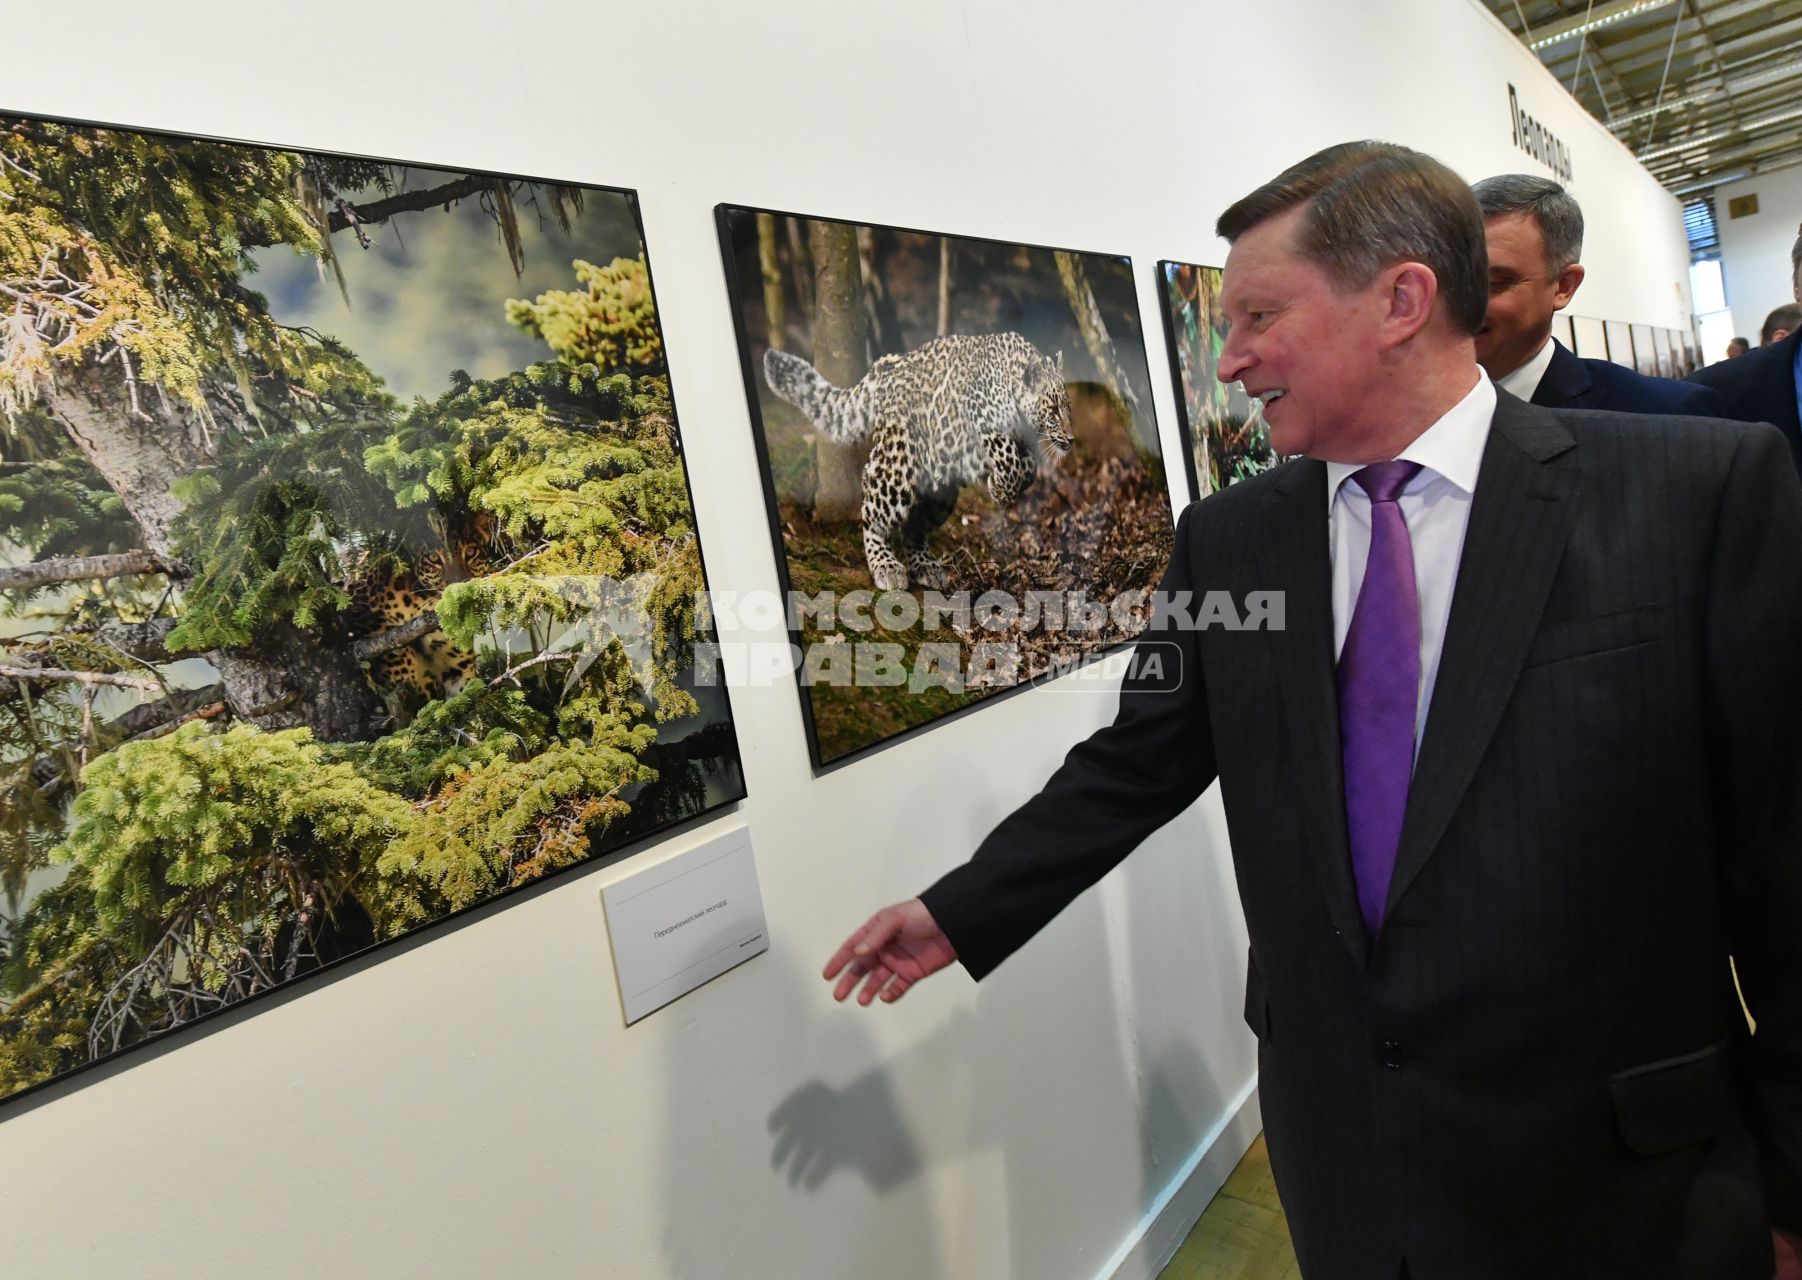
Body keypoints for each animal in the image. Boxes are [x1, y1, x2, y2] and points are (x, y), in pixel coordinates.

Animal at [760, 331, 1066, 591]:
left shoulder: (1025, 444)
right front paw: (1000, 488)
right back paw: (885, 565)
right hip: (898, 466)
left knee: (913, 528)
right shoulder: (983, 419)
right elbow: (1008, 456)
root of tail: (887, 365)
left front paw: (1004, 487)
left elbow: (1027, 469)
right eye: (1053, 409)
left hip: (940, 491)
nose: (1071, 439)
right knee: (871, 504)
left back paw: (925, 566)